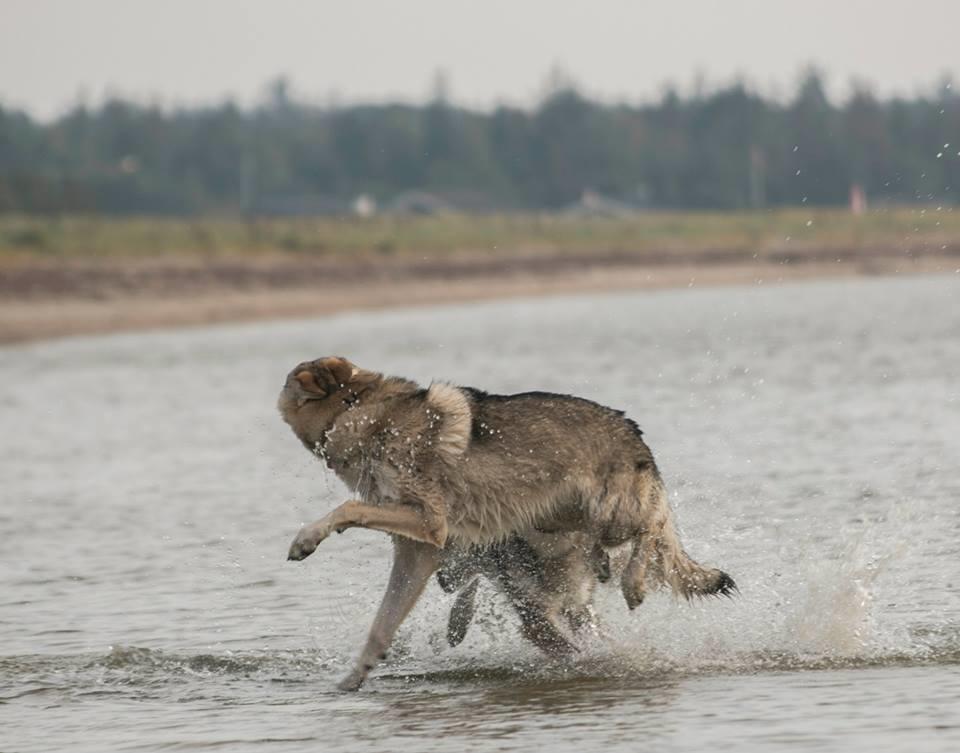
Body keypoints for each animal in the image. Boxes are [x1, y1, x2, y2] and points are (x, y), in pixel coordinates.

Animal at [278, 356, 736, 692]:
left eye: (285, 394)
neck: (363, 414)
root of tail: (634, 431)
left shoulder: (430, 521)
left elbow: (347, 509)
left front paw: (306, 539)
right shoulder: (419, 550)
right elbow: (380, 627)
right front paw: (352, 680)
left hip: (612, 520)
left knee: (654, 530)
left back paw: (634, 585)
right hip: (560, 530)